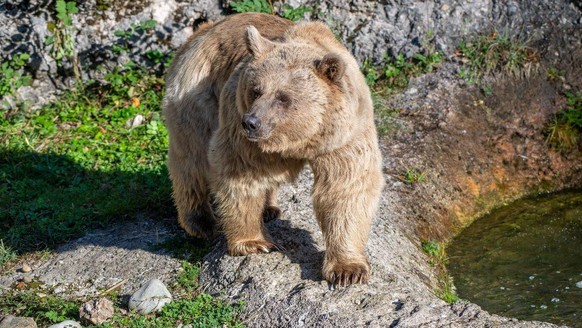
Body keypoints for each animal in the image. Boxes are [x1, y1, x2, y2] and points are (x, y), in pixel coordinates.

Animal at [162, 12, 386, 284]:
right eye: (256, 90)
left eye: (283, 97)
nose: (250, 122)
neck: (301, 140)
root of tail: (205, 28)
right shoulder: (242, 131)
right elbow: (241, 174)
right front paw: (254, 242)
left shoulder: (343, 136)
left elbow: (345, 188)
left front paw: (348, 270)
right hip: (198, 96)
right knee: (192, 158)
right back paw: (200, 221)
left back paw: (269, 208)